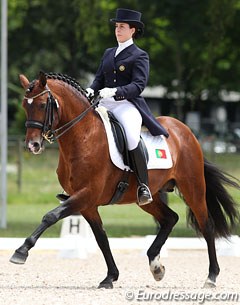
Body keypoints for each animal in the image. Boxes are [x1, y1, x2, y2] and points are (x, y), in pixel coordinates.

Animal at [9, 70, 240, 288]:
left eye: (41, 105)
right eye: (24, 106)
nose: (32, 145)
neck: (84, 136)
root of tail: (185, 131)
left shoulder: (86, 194)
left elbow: (51, 216)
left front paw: (21, 251)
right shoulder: (86, 203)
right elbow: (101, 238)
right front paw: (110, 277)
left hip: (193, 187)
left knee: (206, 225)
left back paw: (211, 276)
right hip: (148, 197)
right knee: (170, 218)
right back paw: (156, 266)